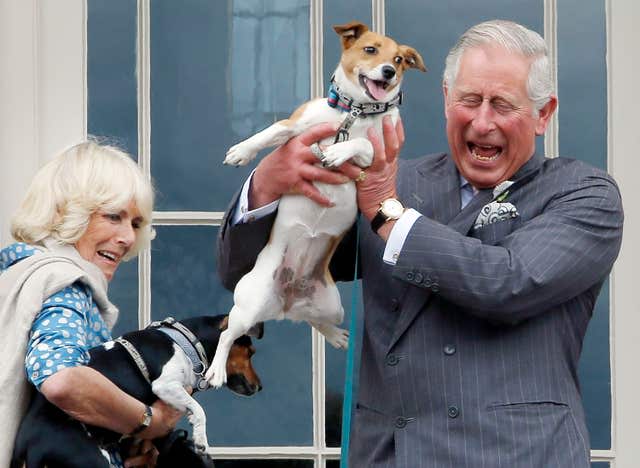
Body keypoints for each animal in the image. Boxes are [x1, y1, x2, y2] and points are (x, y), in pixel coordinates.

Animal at [10, 314, 260, 468]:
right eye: (250, 353)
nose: (260, 386)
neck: (187, 343)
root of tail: (33, 445)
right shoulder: (165, 385)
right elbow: (199, 410)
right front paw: (201, 439)